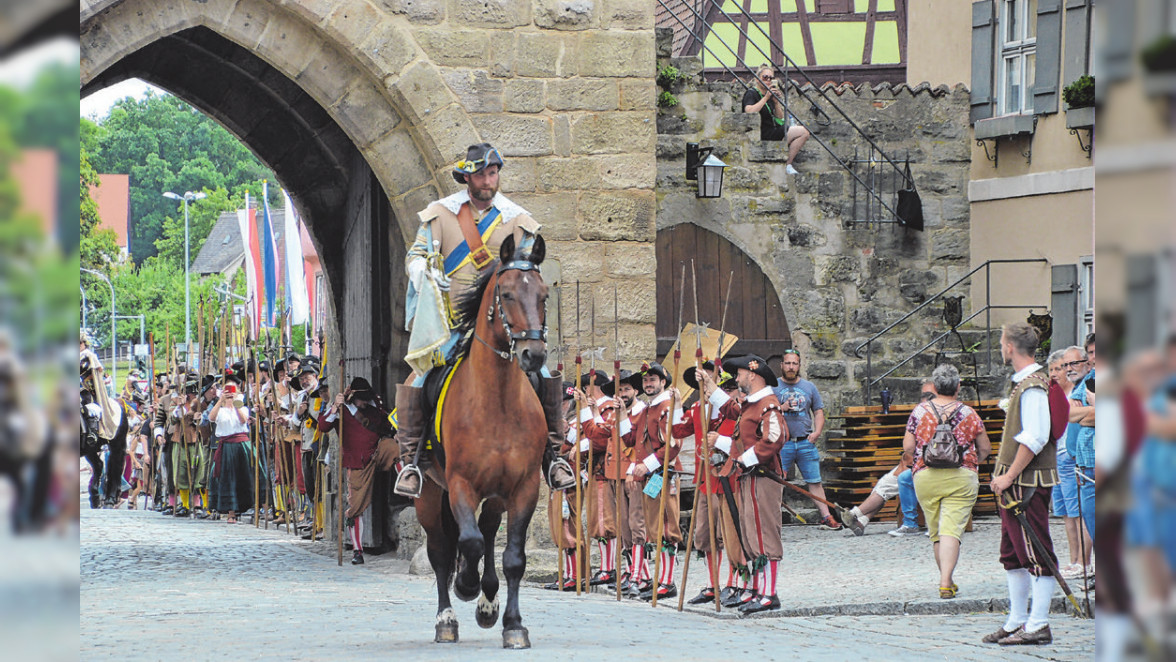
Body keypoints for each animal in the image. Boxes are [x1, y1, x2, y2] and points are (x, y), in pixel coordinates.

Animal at [418, 231, 550, 649]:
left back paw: (488, 599)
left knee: (489, 532)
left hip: (496, 494)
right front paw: (465, 584)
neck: (498, 403)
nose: (533, 353)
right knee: (442, 549)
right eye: (506, 294)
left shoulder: (524, 487)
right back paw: (447, 617)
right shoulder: (460, 483)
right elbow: (468, 542)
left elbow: (513, 557)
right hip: (429, 493)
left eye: (543, 295)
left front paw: (513, 624)